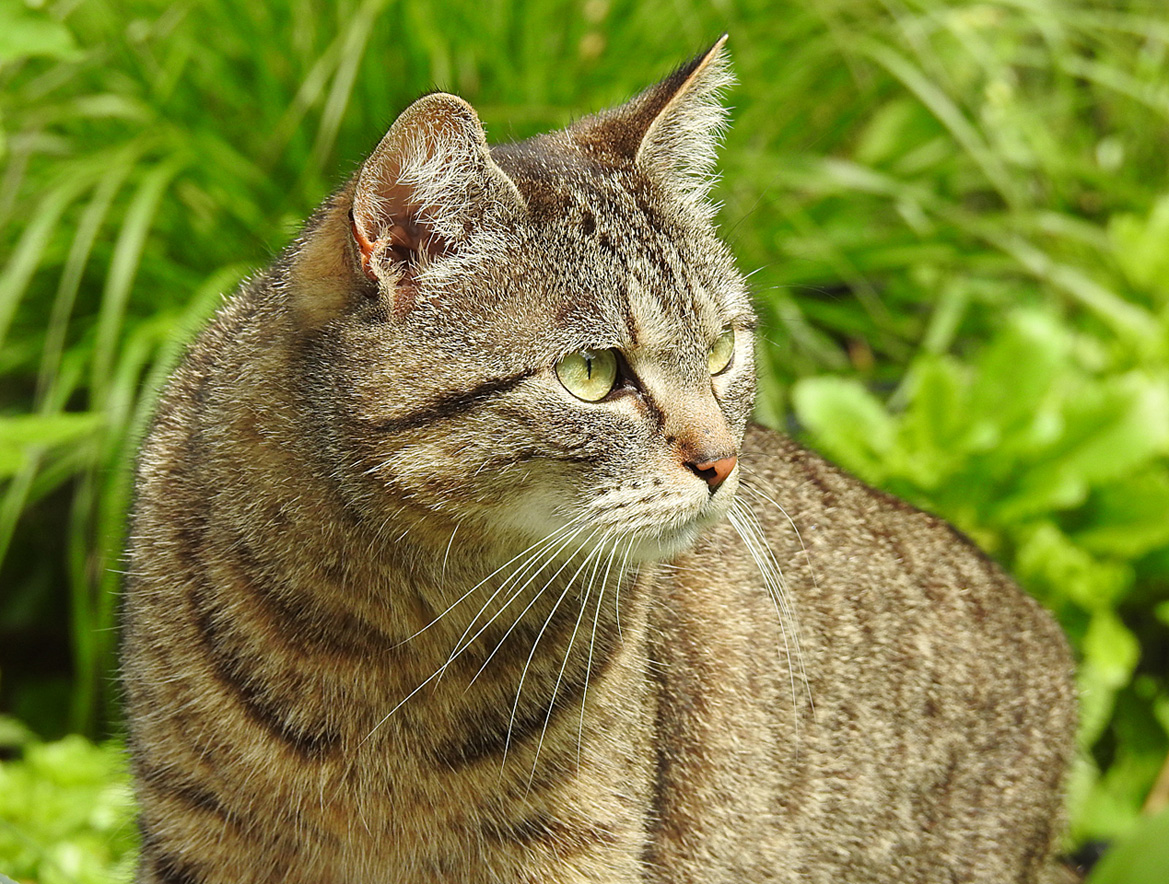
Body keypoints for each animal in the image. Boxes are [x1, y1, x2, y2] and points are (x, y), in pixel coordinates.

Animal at [120, 36, 1075, 883]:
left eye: (722, 350)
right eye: (592, 372)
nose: (722, 461)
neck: (385, 633)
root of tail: (1049, 637)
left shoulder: (572, 843)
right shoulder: (193, 832)